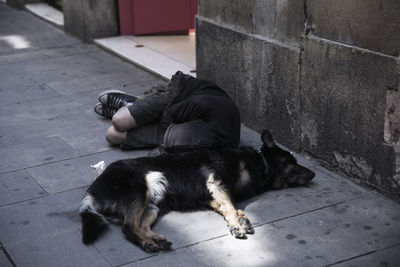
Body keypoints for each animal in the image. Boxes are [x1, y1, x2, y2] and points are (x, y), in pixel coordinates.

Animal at [79, 131, 316, 252]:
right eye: (293, 163)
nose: (313, 174)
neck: (260, 162)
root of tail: (92, 191)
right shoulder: (218, 184)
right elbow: (231, 207)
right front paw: (237, 226)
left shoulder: (216, 196)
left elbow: (233, 209)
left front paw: (241, 220)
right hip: (138, 190)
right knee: (128, 227)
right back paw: (147, 243)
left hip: (152, 206)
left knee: (139, 225)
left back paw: (157, 240)